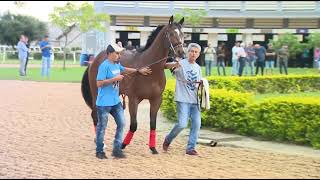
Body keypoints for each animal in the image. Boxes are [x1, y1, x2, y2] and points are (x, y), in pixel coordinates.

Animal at [81, 15, 184, 153]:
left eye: (183, 34)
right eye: (171, 33)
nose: (181, 53)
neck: (150, 67)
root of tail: (94, 60)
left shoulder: (156, 99)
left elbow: (153, 124)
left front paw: (153, 148)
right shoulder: (133, 99)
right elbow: (134, 125)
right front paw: (122, 144)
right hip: (97, 93)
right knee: (95, 116)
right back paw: (100, 142)